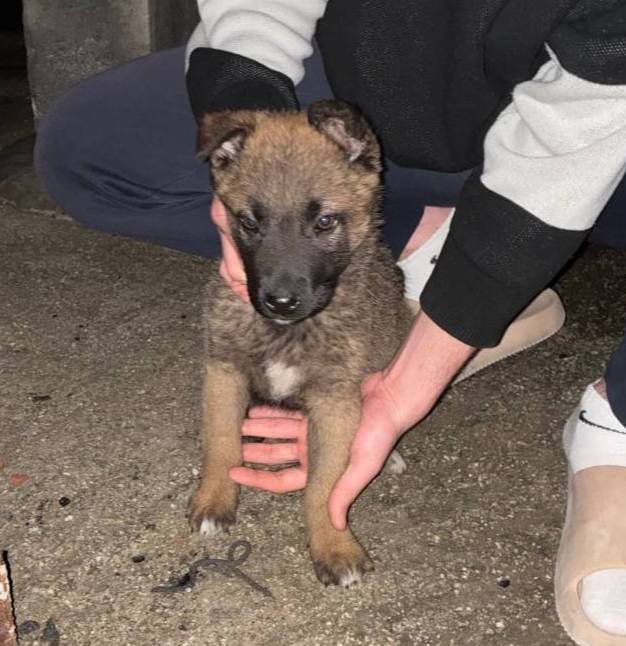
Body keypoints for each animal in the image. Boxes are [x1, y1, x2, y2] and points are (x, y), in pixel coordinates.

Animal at [189, 100, 413, 587]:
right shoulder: (223, 370)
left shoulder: (336, 401)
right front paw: (214, 498)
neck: (286, 330)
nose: (280, 301)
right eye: (248, 222)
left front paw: (333, 545)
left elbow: (325, 486)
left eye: (325, 221)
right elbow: (220, 441)